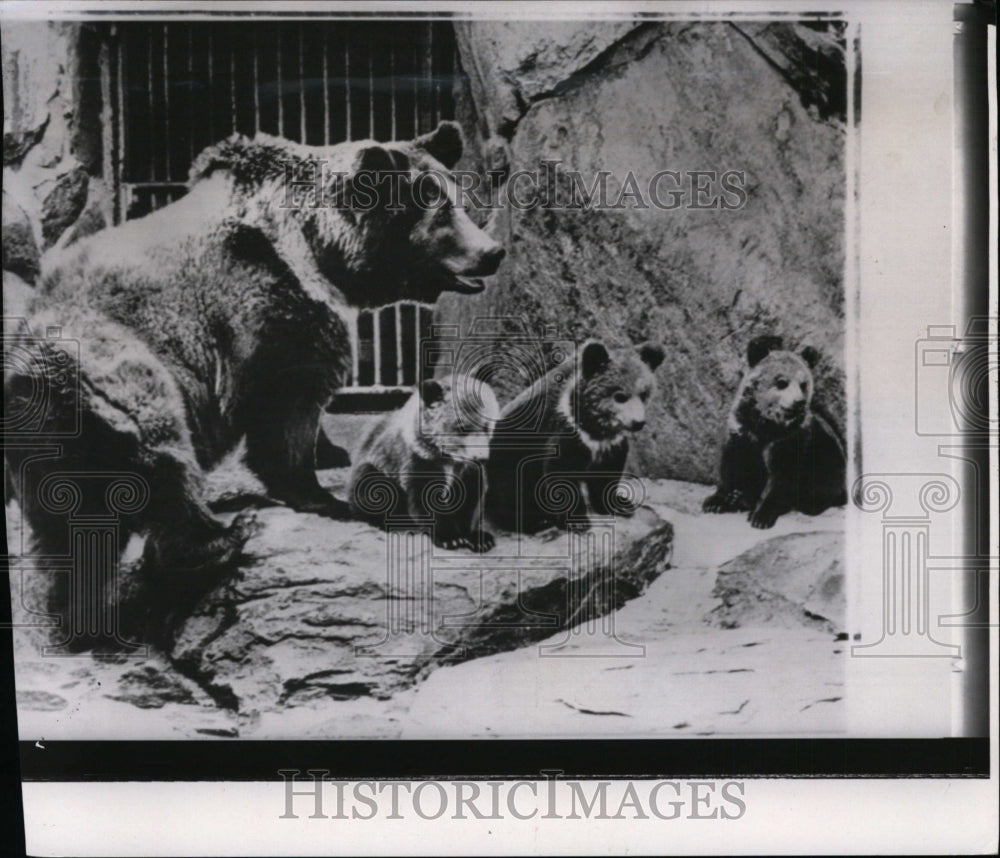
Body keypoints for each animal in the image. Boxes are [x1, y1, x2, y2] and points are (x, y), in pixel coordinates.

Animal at [0, 118, 500, 640]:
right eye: (439, 209)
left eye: (460, 198)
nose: (492, 253)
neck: (322, 247)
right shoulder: (267, 302)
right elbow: (287, 407)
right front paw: (324, 495)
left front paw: (331, 455)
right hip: (108, 368)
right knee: (161, 448)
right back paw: (220, 539)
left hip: (56, 445)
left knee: (75, 535)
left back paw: (82, 614)